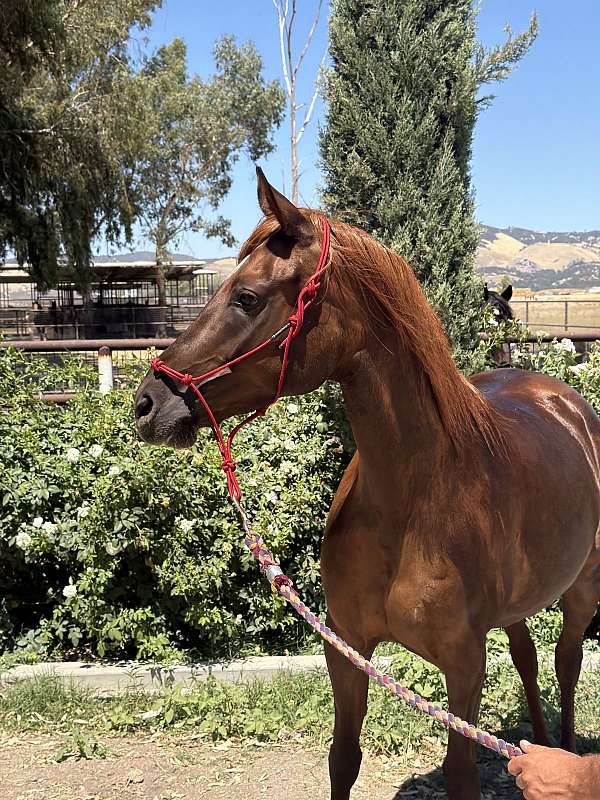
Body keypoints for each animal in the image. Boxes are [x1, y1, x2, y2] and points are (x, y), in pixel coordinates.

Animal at [135, 169, 600, 800]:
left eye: (247, 297)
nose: (146, 404)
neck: (413, 502)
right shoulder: (348, 647)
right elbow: (343, 757)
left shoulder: (464, 664)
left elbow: (459, 770)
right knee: (528, 656)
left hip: (583, 589)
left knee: (565, 661)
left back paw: (563, 751)